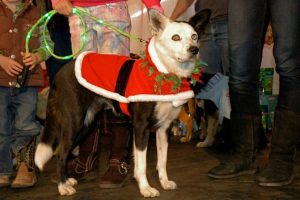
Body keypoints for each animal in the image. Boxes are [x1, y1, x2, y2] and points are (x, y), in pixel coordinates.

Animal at [34, 9, 210, 197]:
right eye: (175, 37)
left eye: (194, 36)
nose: (194, 50)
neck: (163, 72)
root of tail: (59, 74)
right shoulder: (141, 127)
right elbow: (141, 164)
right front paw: (145, 188)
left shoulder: (164, 128)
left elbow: (162, 161)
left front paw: (164, 182)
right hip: (73, 122)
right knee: (60, 153)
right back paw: (62, 186)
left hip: (85, 125)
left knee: (63, 152)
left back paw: (67, 180)